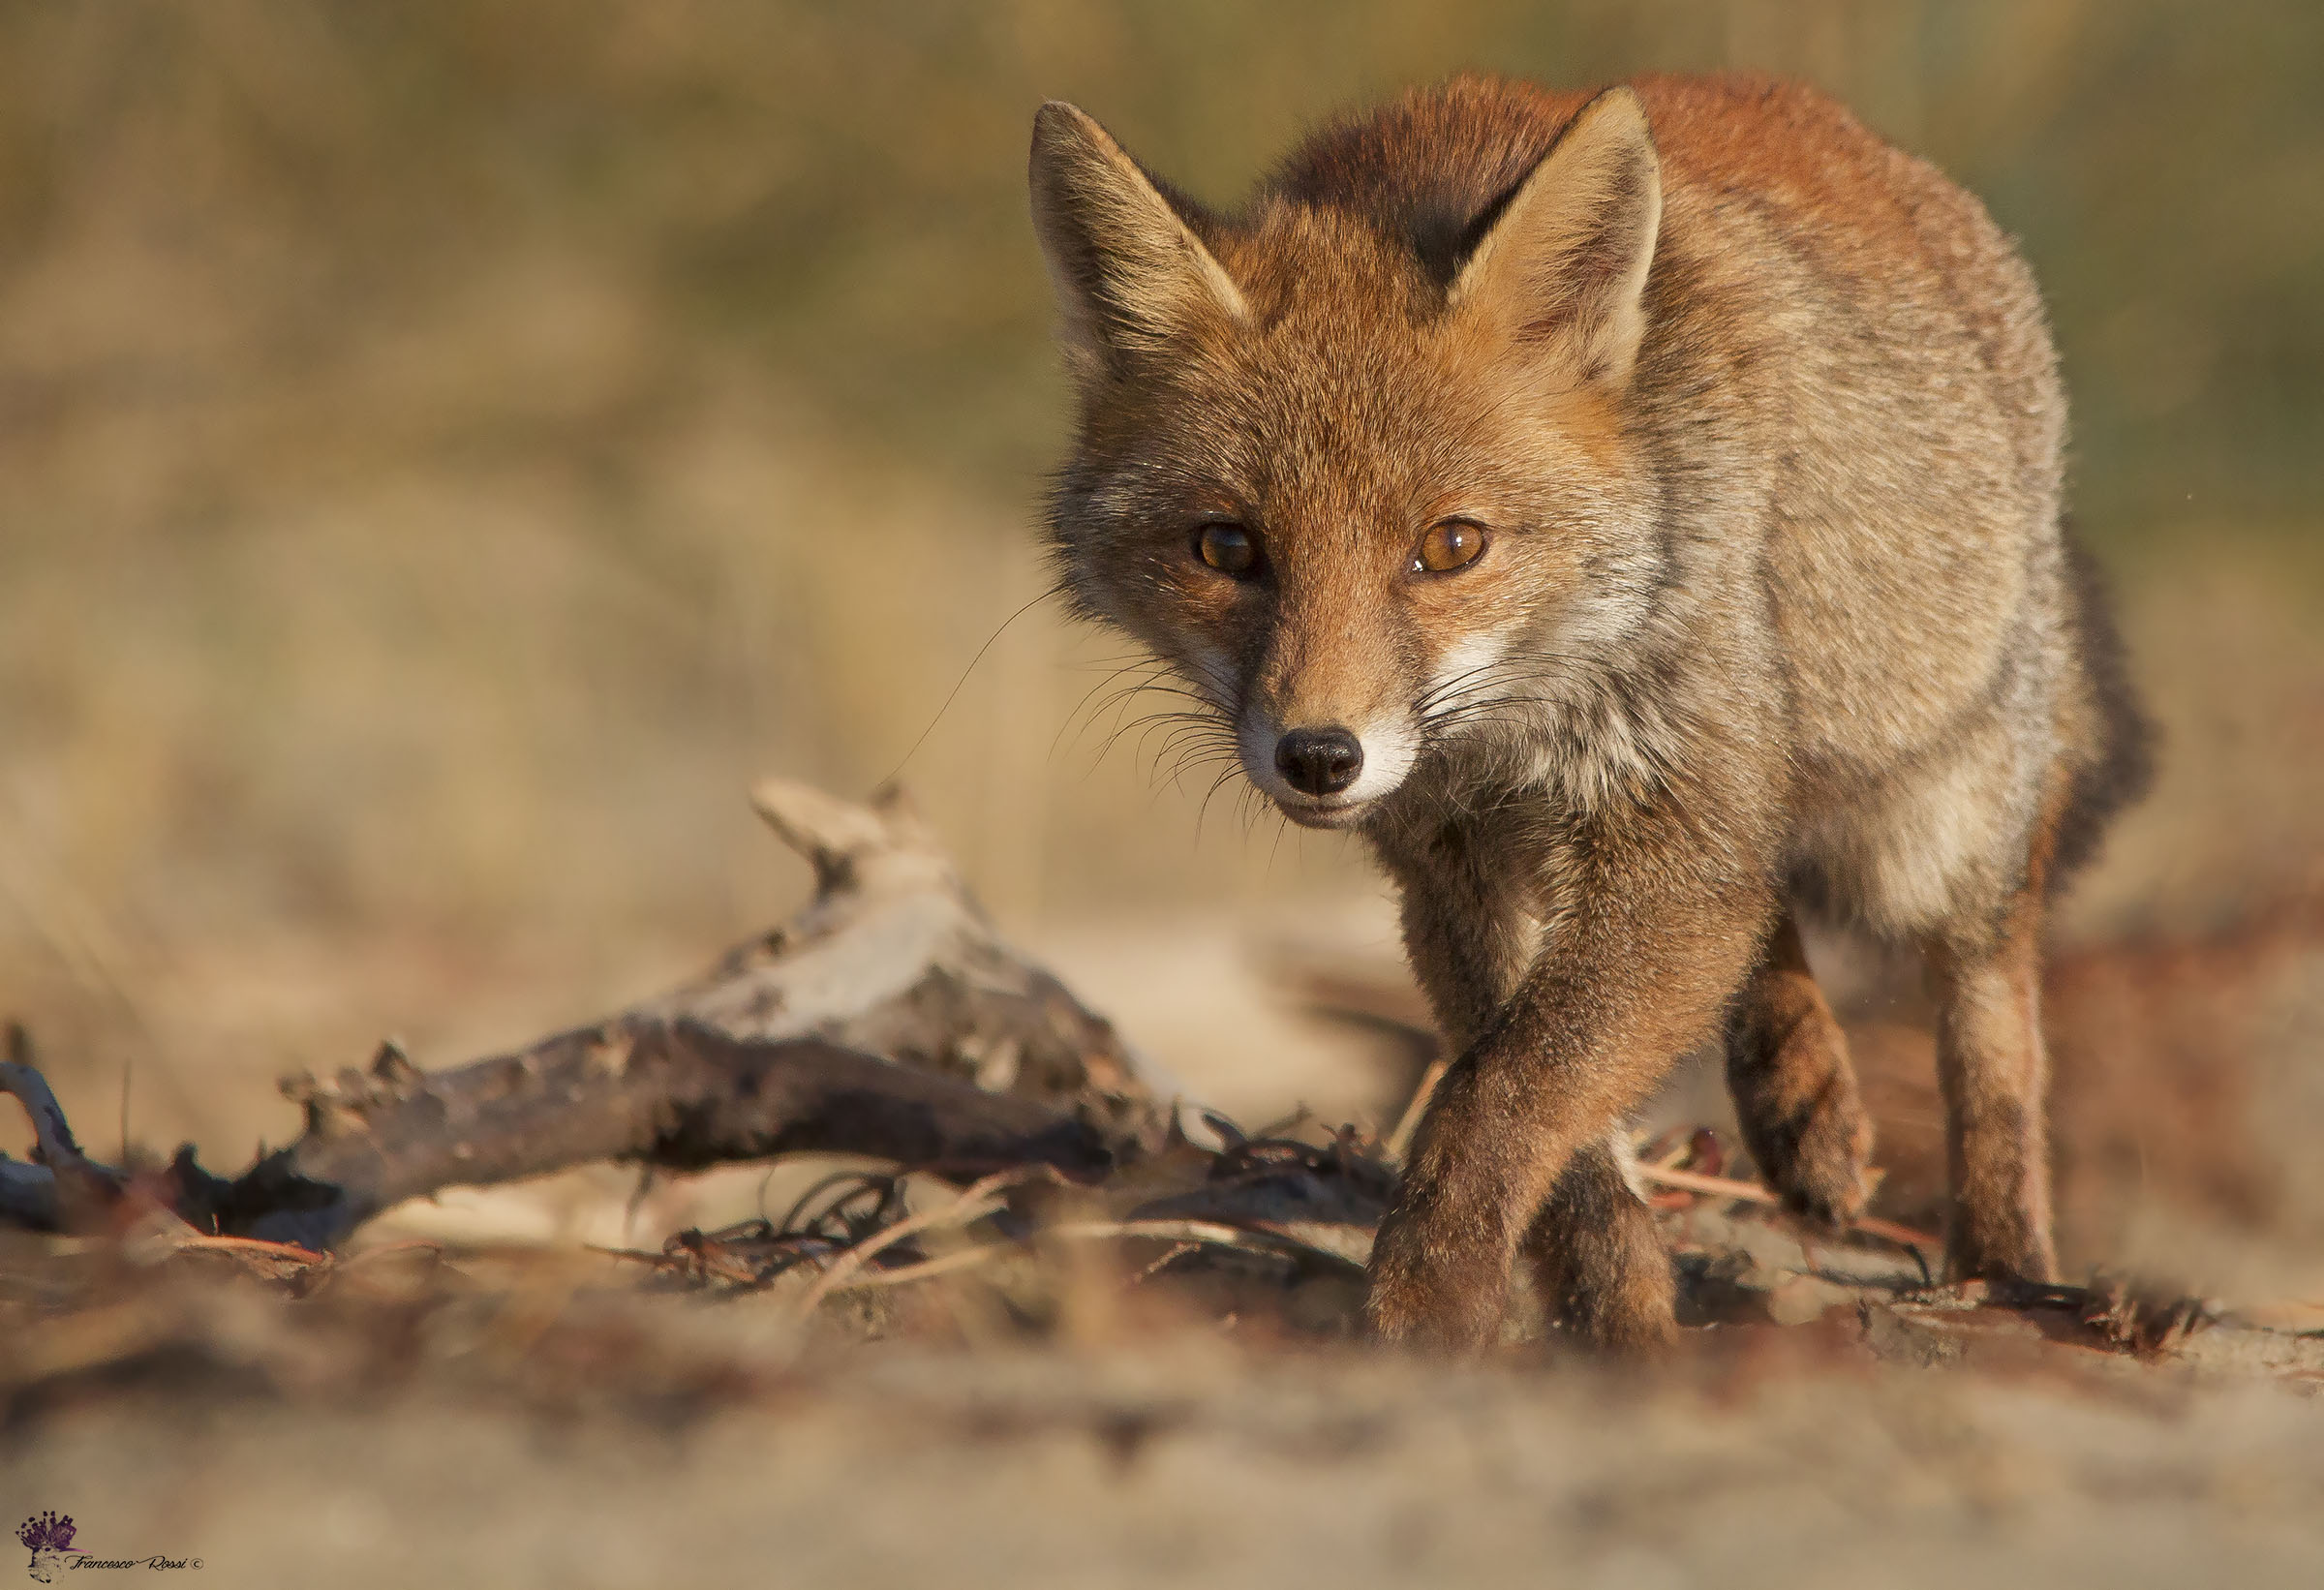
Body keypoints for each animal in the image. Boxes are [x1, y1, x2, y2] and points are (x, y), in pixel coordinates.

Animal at [1026, 72, 2150, 1353]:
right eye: (1226, 548)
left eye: (1450, 546)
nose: (1320, 756)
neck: (1521, 719)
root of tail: (1856, 134)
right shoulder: (1455, 870)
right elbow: (1542, 1105)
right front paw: (1611, 1309)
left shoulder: (1668, 825)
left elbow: (1511, 1087)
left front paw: (1428, 1297)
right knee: (1765, 906)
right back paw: (1802, 1099)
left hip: (1932, 820)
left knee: (1991, 1003)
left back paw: (2010, 1264)